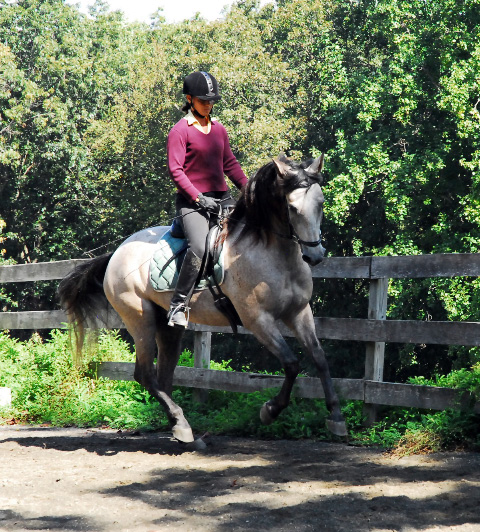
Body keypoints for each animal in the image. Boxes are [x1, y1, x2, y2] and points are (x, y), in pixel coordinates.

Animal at [58, 153, 346, 444]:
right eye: (292, 208)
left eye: (321, 203)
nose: (315, 256)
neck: (273, 255)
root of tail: (117, 253)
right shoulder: (258, 321)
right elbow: (292, 363)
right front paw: (270, 410)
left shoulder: (299, 312)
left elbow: (319, 357)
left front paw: (336, 416)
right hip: (139, 319)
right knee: (145, 374)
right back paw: (181, 424)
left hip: (168, 327)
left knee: (164, 374)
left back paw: (179, 425)